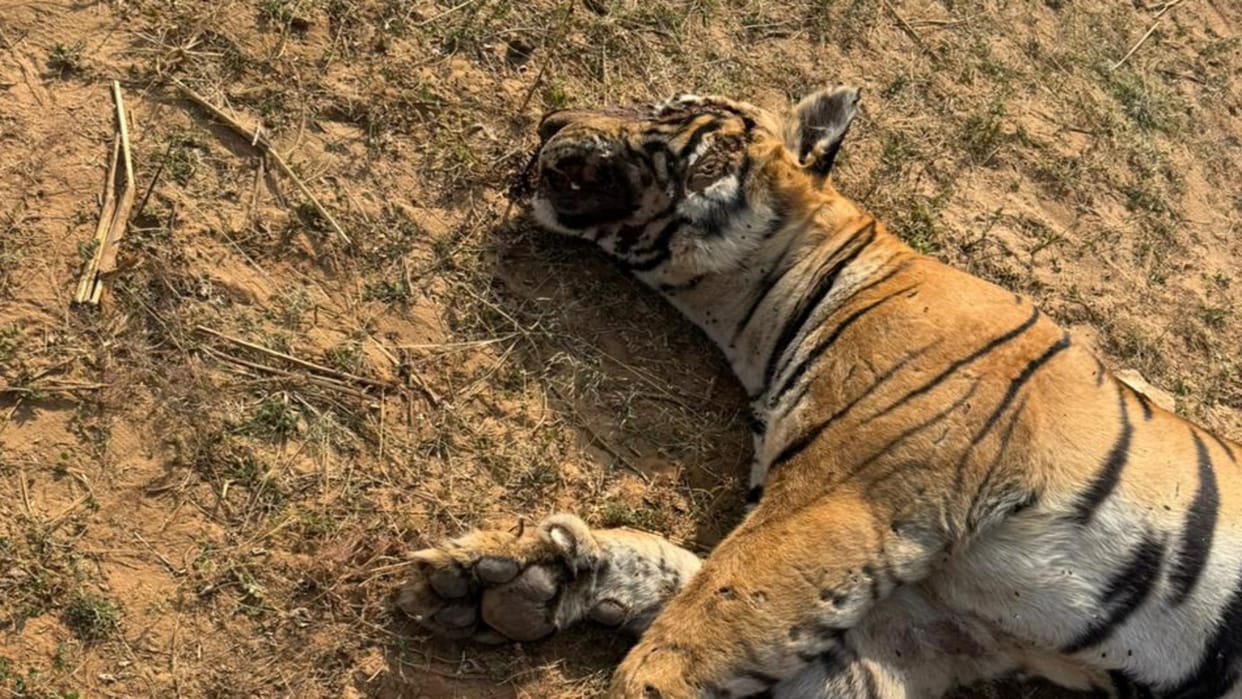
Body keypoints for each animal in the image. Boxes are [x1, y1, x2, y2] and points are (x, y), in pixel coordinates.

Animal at [395, 86, 1242, 699]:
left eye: (666, 111)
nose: (549, 119)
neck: (762, 321)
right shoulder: (912, 626)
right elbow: (691, 584)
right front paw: (520, 575)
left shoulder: (844, 501)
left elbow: (704, 618)